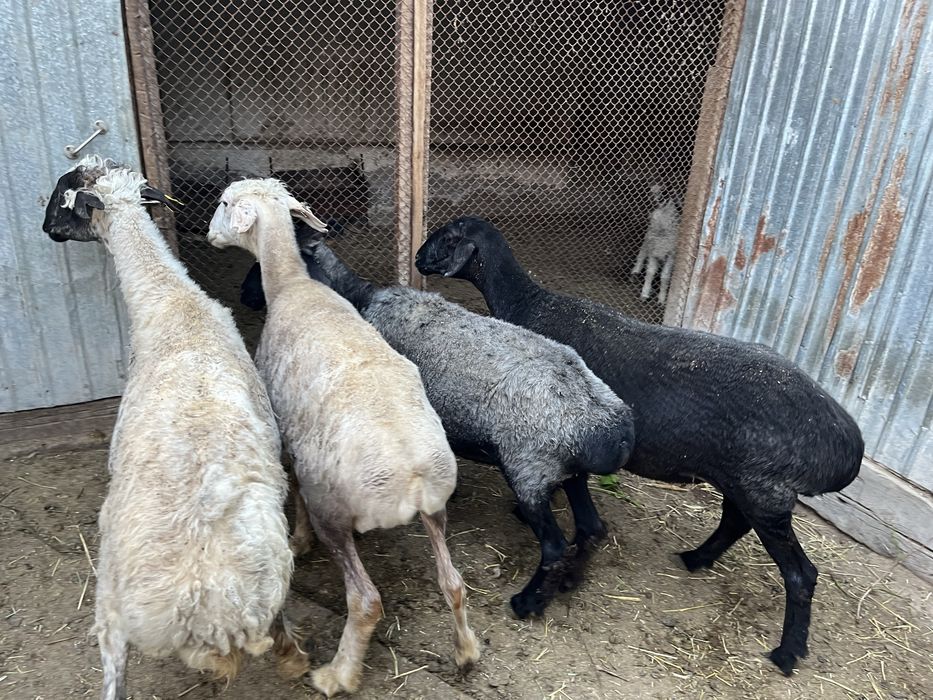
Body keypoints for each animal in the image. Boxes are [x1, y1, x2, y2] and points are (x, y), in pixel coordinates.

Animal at [40, 157, 307, 700]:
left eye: (63, 194)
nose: (45, 231)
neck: (171, 302)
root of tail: (208, 607)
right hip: (274, 577)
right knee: (288, 638)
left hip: (110, 606)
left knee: (114, 675)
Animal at [206, 178, 480, 696]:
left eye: (226, 204)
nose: (210, 237)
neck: (292, 285)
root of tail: (413, 480)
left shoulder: (286, 432)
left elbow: (292, 485)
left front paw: (298, 539)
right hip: (437, 508)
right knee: (452, 583)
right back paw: (467, 652)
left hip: (334, 509)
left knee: (367, 600)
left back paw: (337, 673)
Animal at [238, 232, 635, 618]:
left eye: (260, 265)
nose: (244, 296)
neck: (359, 299)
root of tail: (613, 431)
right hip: (568, 471)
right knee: (591, 528)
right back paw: (570, 581)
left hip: (530, 469)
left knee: (554, 546)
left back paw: (528, 603)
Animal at [416, 216, 865, 675]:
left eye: (448, 237)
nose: (417, 258)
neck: (526, 302)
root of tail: (848, 446)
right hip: (744, 481)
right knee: (734, 522)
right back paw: (696, 559)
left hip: (764, 490)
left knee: (799, 574)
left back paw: (787, 652)